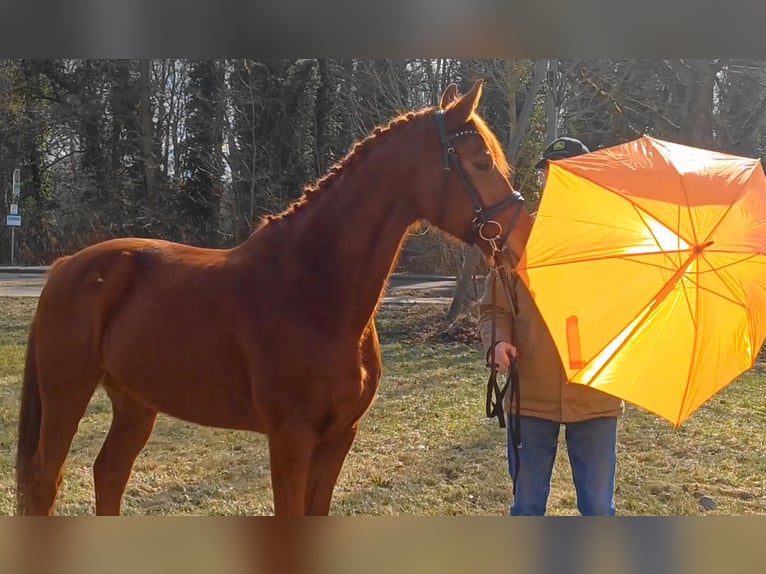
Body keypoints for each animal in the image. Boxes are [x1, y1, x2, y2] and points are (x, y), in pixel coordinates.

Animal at [15, 80, 534, 516]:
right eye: (481, 162)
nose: (523, 238)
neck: (317, 292)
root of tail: (66, 266)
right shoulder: (290, 439)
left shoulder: (339, 437)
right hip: (67, 395)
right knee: (44, 483)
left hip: (135, 401)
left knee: (109, 474)